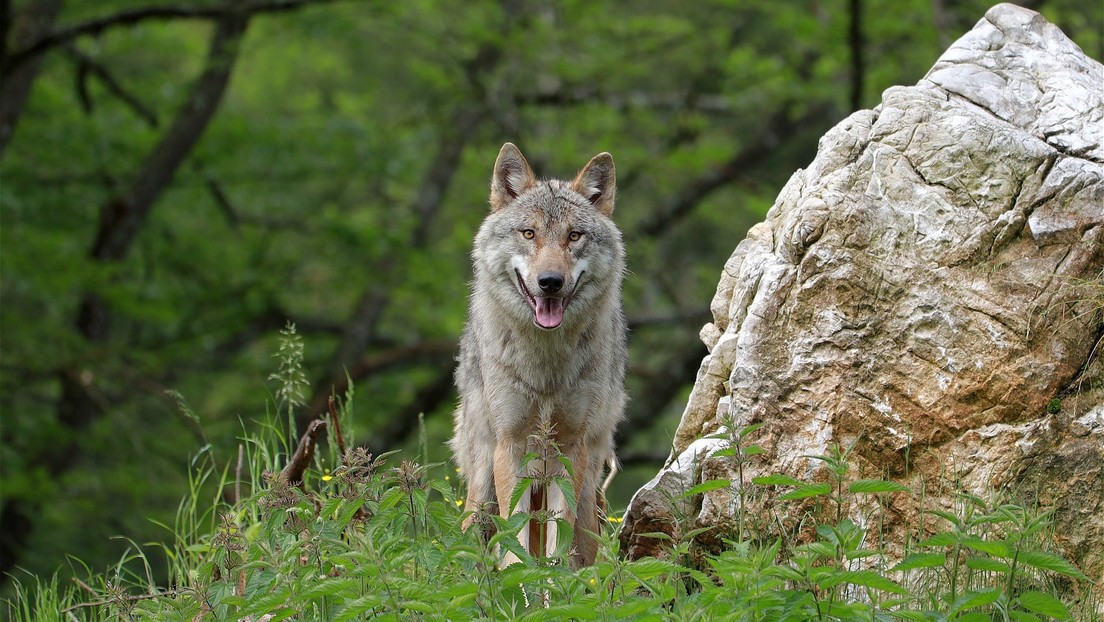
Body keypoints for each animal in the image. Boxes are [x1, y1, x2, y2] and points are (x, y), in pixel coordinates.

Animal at [446, 142, 622, 570]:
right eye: (529, 233)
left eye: (574, 236)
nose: (550, 282)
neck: (546, 366)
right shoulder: (511, 445)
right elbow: (514, 539)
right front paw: (520, 585)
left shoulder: (570, 448)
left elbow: (558, 542)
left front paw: (553, 588)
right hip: (482, 488)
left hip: (589, 493)